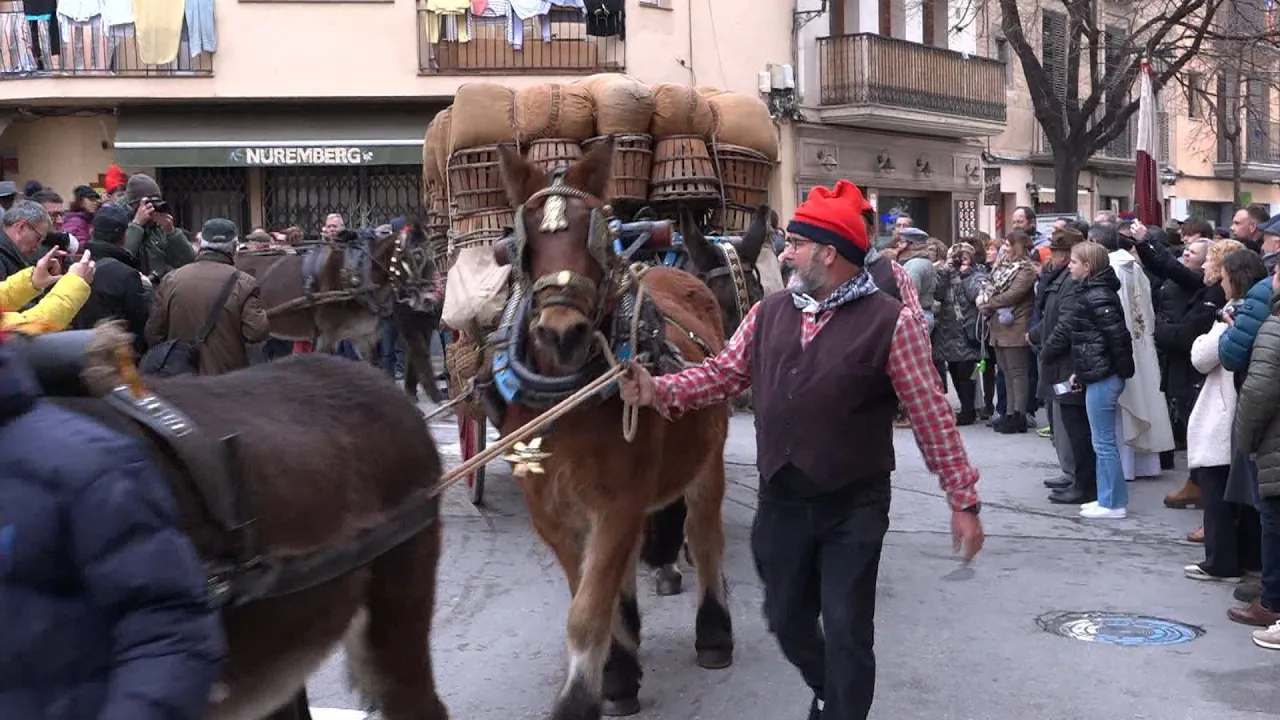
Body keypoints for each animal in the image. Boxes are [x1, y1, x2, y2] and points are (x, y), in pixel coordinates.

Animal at [494, 137, 737, 712]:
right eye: (524, 242)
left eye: (595, 234)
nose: (563, 333)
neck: (568, 403)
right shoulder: (553, 512)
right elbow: (588, 590)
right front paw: (617, 671)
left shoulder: (618, 500)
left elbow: (588, 607)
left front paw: (578, 698)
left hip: (707, 460)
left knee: (704, 534)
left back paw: (714, 631)